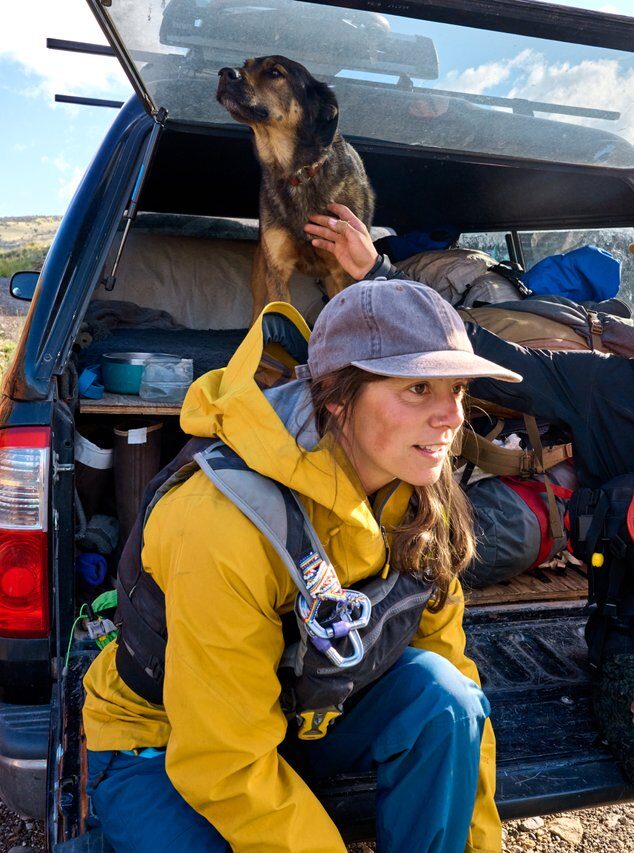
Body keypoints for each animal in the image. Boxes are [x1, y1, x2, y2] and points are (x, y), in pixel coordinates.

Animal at [217, 55, 376, 324]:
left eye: (274, 72)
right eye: (246, 64)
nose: (224, 72)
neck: (298, 173)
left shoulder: (343, 271)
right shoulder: (277, 270)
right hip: (261, 270)